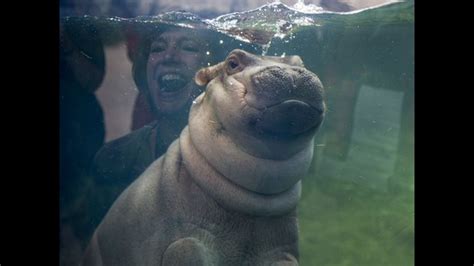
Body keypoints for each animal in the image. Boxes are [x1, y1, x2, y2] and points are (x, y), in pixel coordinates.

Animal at [82, 50, 326, 266]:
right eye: (232, 62)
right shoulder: (183, 239)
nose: (291, 72)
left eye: (300, 62)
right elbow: (187, 248)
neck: (251, 203)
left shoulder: (281, 248)